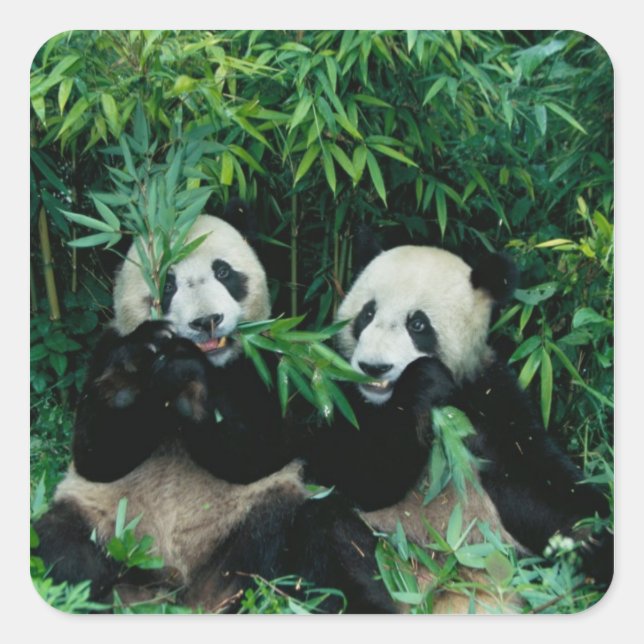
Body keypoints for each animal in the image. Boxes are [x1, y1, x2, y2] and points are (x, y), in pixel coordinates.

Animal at [33, 202, 396, 614]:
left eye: (223, 272)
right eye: (167, 284)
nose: (206, 321)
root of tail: (186, 592)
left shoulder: (275, 363)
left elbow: (263, 449)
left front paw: (189, 379)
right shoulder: (105, 350)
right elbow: (96, 455)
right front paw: (136, 369)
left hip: (265, 519)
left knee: (328, 537)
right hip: (106, 526)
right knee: (60, 548)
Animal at [313, 224, 613, 602]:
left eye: (418, 324)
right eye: (367, 314)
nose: (373, 367)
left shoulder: (489, 400)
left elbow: (541, 487)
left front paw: (596, 536)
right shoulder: (334, 390)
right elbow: (355, 473)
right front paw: (423, 381)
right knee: (335, 537)